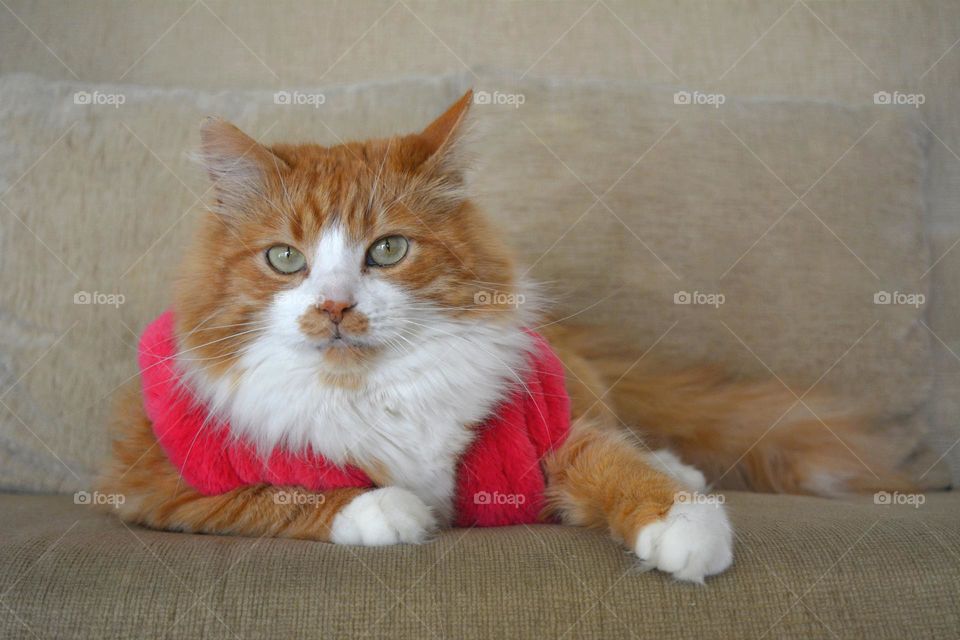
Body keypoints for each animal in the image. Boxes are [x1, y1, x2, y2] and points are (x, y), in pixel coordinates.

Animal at [101, 91, 920, 584]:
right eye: (284, 260)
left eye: (387, 250)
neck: (371, 388)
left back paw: (681, 470)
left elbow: (620, 467)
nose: (334, 307)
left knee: (626, 431)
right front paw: (390, 510)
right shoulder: (154, 485)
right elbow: (281, 495)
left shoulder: (545, 438)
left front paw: (684, 527)